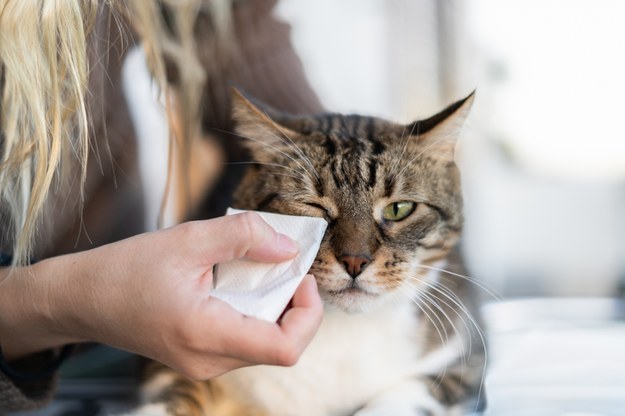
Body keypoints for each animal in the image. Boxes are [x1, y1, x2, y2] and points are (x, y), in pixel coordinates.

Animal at [135, 91, 488, 416]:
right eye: (313, 207)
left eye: (398, 209)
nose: (355, 261)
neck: (338, 331)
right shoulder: (166, 367)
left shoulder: (464, 362)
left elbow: (401, 399)